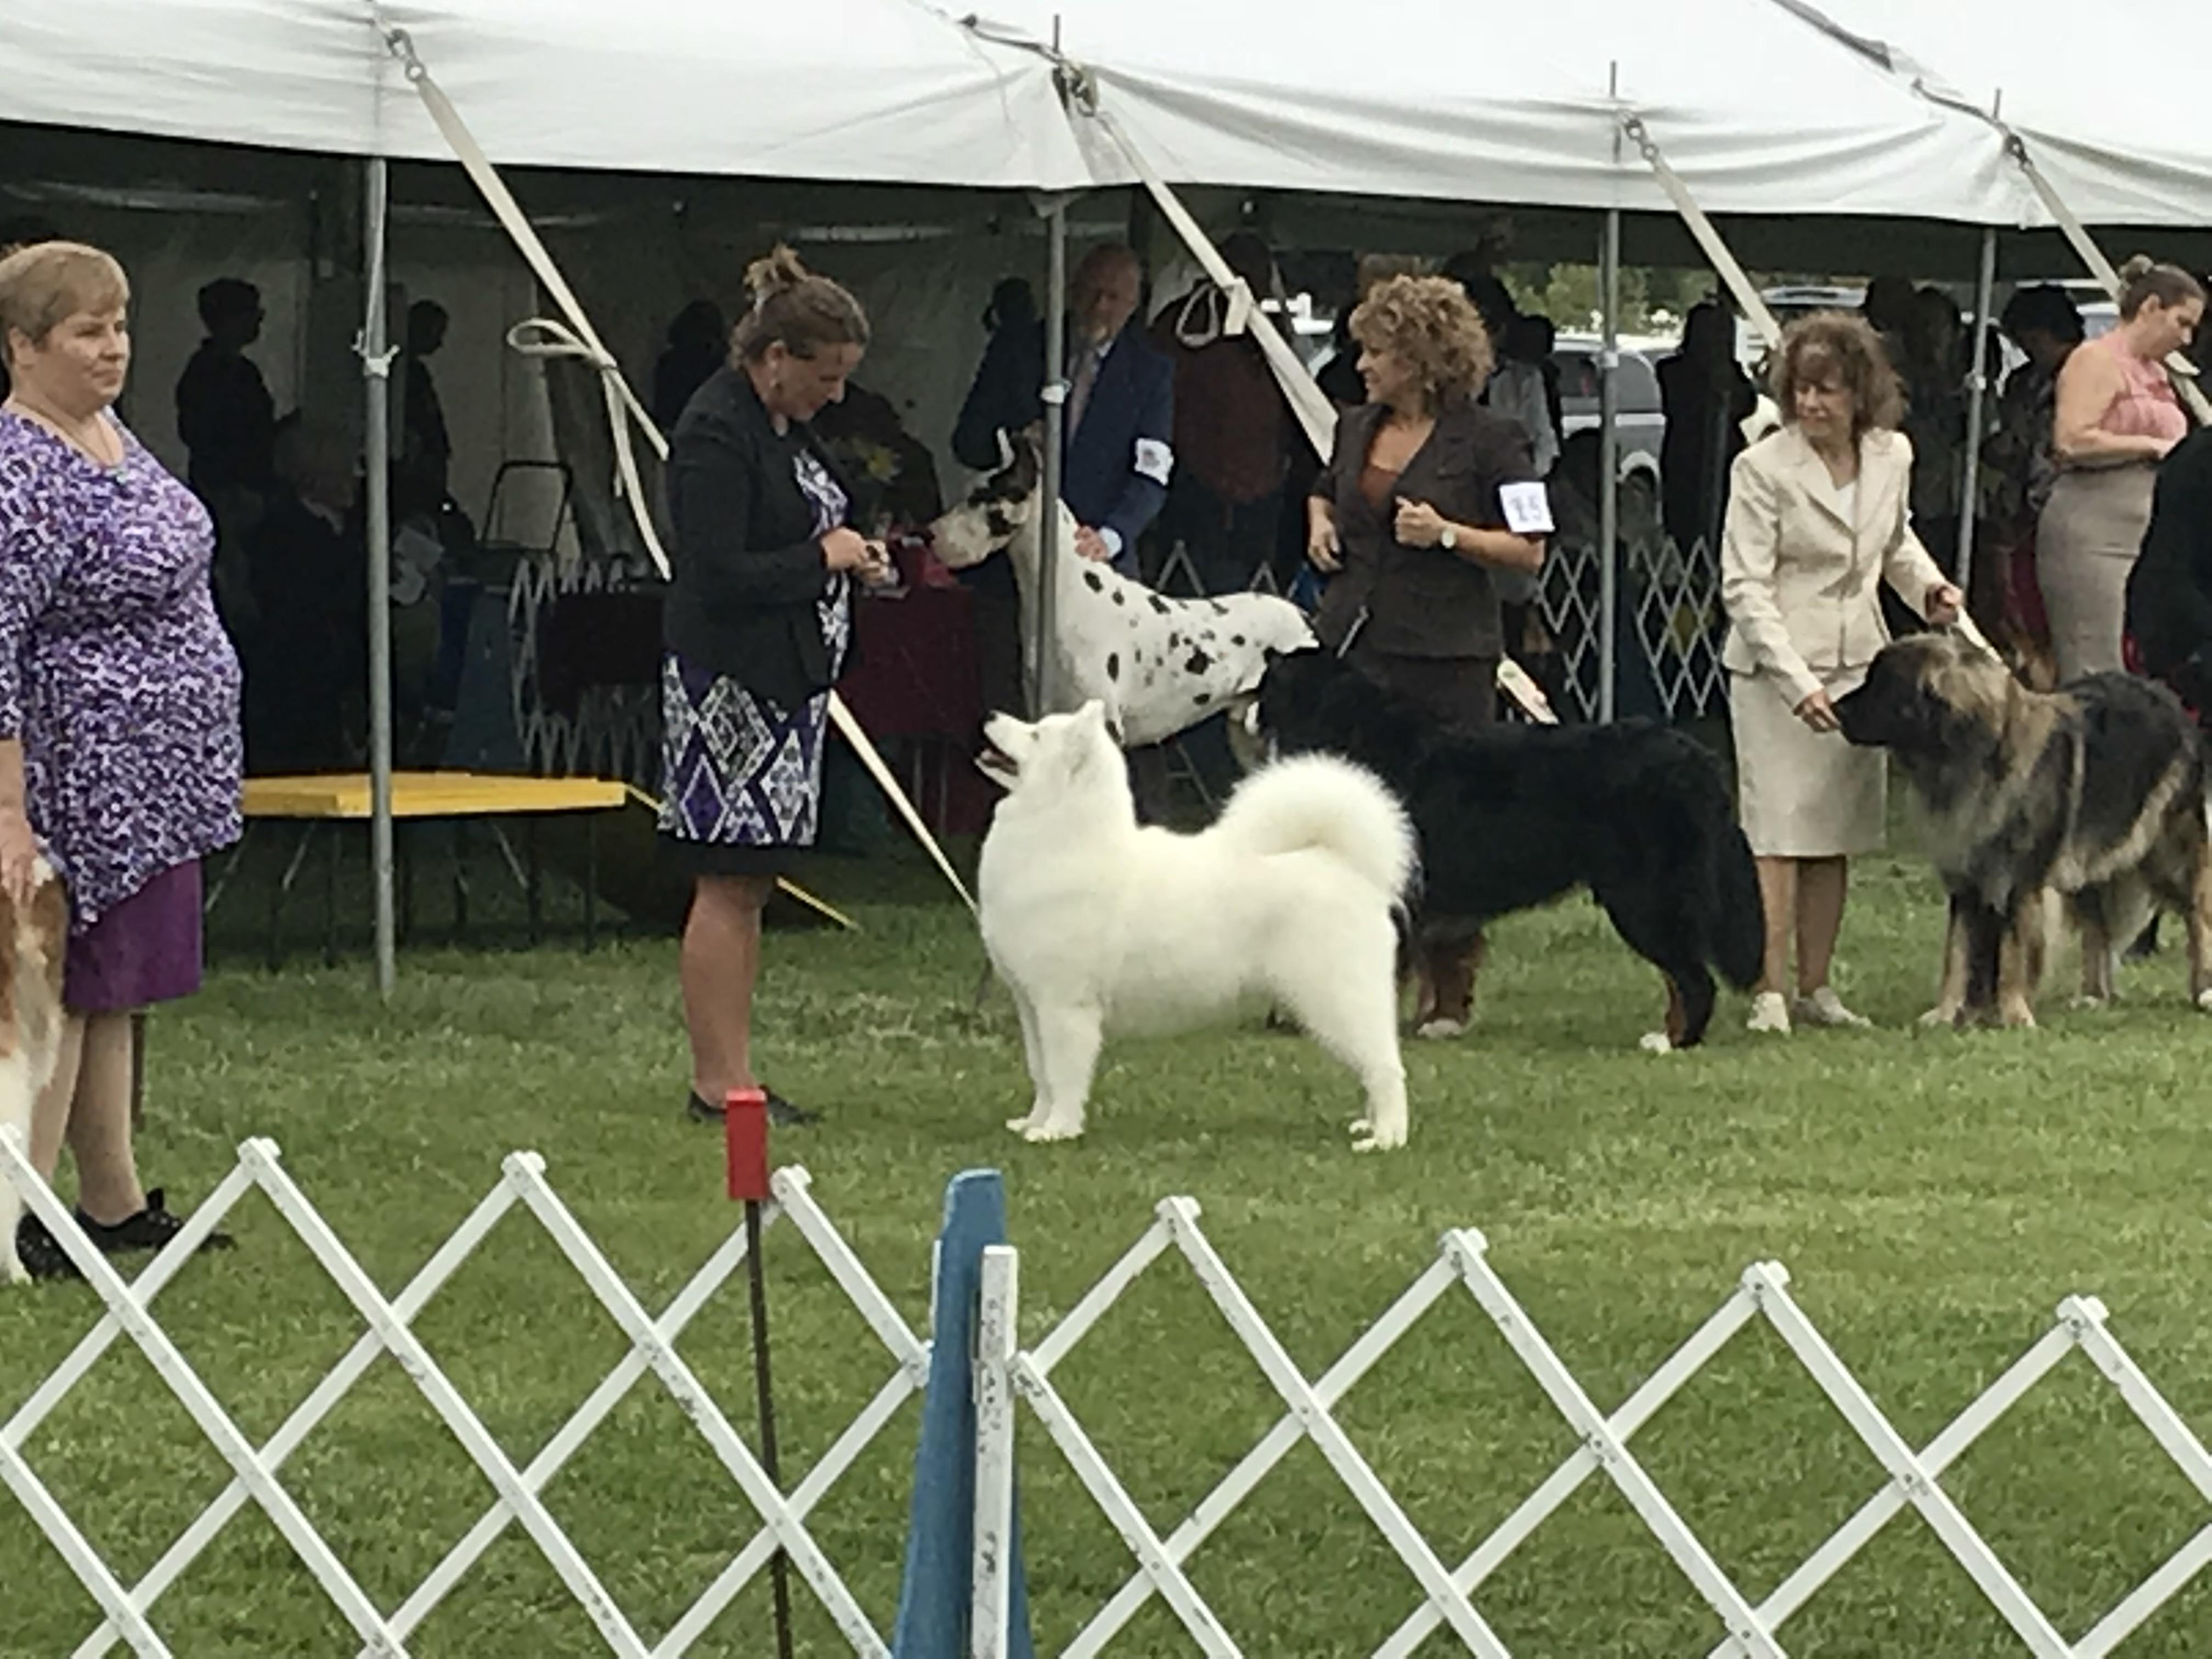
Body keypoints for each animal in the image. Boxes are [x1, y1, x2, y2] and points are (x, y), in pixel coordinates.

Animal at [976, 699, 1416, 1150]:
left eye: (1036, 735)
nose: (990, 715)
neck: (1062, 839)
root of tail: (1346, 866)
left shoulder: (1065, 1006)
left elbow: (1062, 1076)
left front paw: (1059, 1129)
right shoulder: (1031, 1004)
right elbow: (1041, 1073)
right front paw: (1033, 1123)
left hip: (1337, 999)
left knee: (1385, 1067)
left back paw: (1386, 1137)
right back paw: (1369, 1125)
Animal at [1249, 647, 1764, 1051]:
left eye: (1267, 683)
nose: (1247, 709)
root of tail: (1700, 761)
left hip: (1643, 898)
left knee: (1694, 979)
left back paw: (1674, 1042)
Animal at [1835, 630, 2212, 1027]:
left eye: (1884, 686)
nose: (1836, 709)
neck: (1969, 760)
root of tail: (2165, 695)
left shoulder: (2019, 881)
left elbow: (2013, 951)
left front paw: (2014, 1015)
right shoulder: (1966, 880)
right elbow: (1958, 952)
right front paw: (1946, 1014)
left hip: (2169, 850)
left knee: (2197, 917)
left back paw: (2202, 991)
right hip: (2084, 862)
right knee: (2097, 924)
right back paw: (2093, 995)